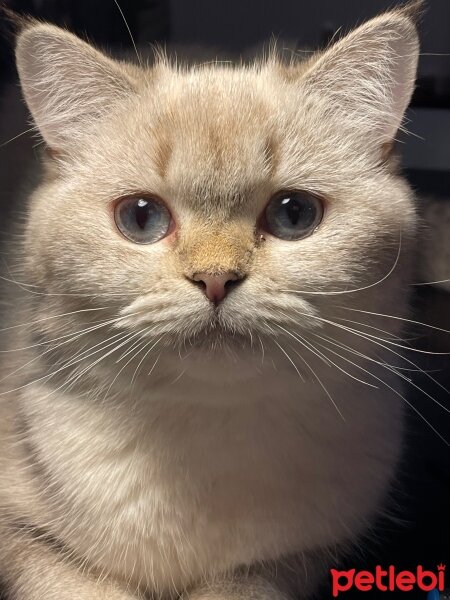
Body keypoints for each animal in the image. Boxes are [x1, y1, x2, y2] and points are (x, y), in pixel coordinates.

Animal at [0, 4, 422, 600]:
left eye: (294, 214)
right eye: (141, 218)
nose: (216, 279)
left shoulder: (298, 557)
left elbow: (239, 586)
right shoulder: (20, 537)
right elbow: (80, 588)